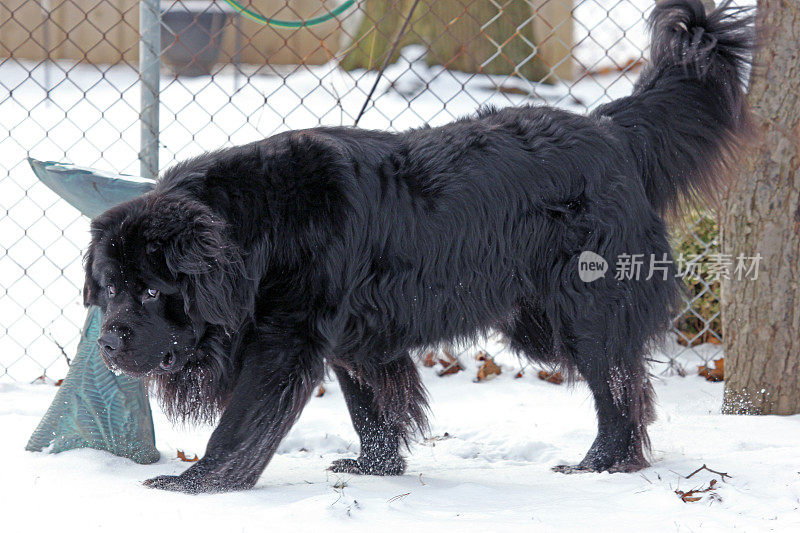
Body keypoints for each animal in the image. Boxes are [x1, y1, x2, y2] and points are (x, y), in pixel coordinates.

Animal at [84, 0, 752, 492]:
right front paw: (376, 468)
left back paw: (600, 464)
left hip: (585, 310)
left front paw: (197, 482)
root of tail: (612, 130)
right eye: (109, 289)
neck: (256, 233)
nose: (108, 341)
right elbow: (371, 407)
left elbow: (243, 420)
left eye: (151, 292)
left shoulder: (284, 340)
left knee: (617, 386)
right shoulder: (352, 337)